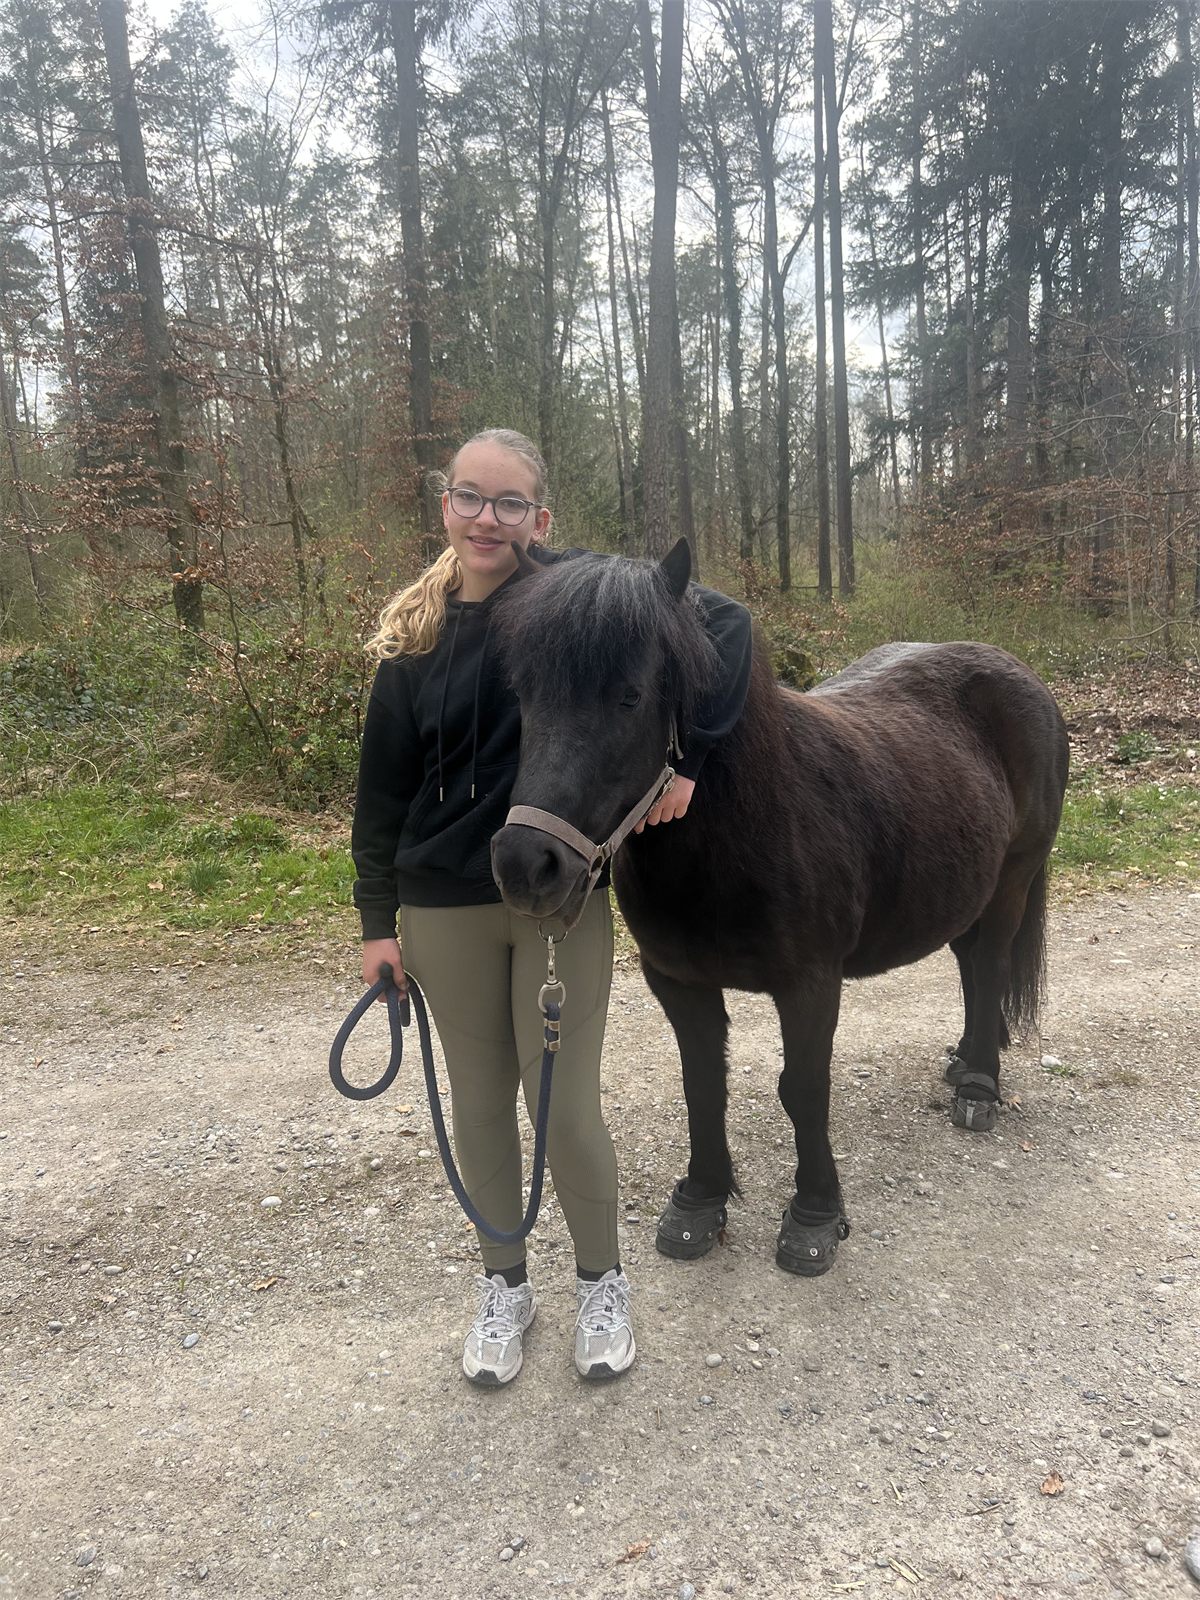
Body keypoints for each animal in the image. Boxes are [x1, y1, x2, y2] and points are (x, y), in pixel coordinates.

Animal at [489, 540, 1070, 1276]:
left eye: (630, 695)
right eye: (523, 695)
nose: (524, 865)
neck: (744, 830)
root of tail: (1023, 676)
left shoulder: (811, 985)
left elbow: (804, 1089)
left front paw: (815, 1215)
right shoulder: (677, 981)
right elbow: (703, 1084)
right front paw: (701, 1199)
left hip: (1011, 884)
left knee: (989, 964)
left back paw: (979, 1088)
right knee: (971, 966)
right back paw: (967, 1057)